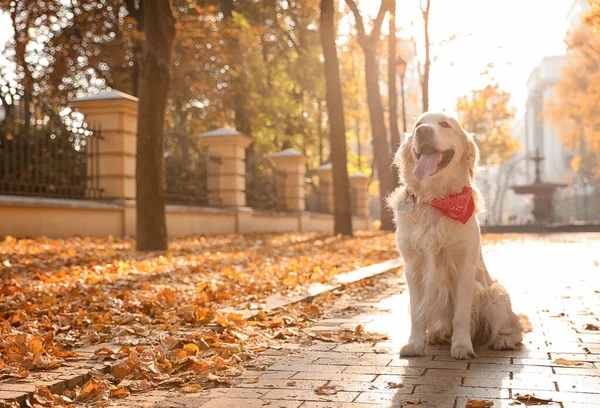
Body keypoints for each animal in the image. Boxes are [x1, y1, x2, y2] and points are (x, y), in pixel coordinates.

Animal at [386, 112, 524, 360]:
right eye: (418, 124)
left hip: (496, 295)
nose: (423, 131)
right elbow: (417, 314)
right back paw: (437, 335)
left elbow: (461, 313)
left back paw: (503, 340)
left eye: (445, 124)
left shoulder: (465, 268)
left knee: (517, 328)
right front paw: (415, 344)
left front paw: (461, 346)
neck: (437, 199)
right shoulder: (412, 268)